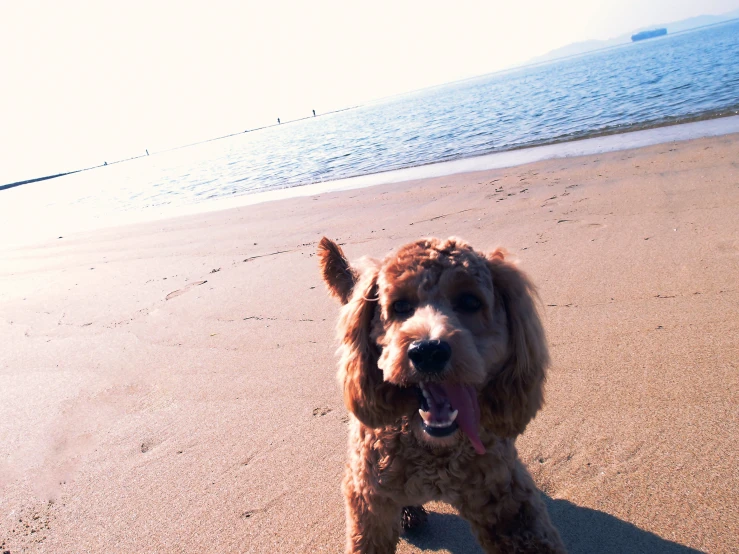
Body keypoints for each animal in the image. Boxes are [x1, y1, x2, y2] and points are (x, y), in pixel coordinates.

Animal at [318, 235, 568, 548]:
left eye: (470, 301)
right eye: (400, 306)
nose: (428, 351)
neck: (434, 449)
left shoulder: (506, 500)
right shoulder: (368, 499)